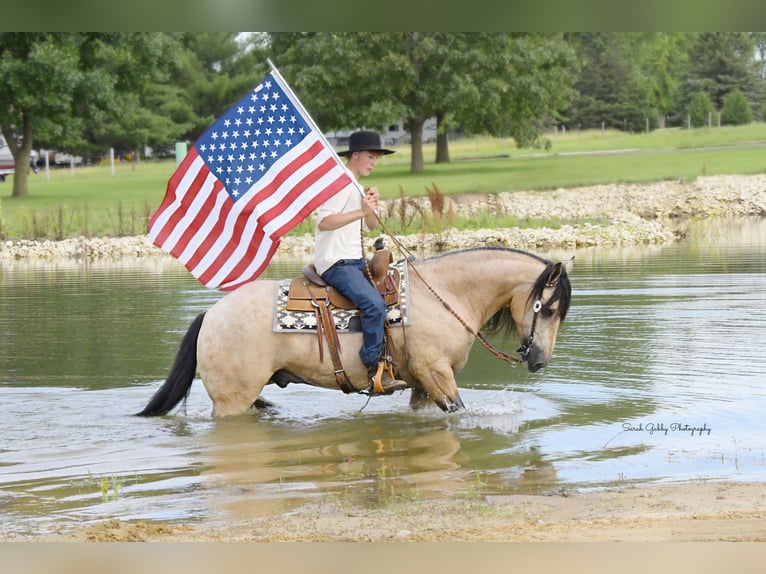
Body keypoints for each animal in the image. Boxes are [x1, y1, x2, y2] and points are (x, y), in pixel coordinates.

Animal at [138, 248, 572, 418]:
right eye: (548, 309)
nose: (539, 361)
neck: (446, 294)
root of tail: (210, 315)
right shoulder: (437, 375)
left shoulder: (423, 384)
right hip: (232, 401)